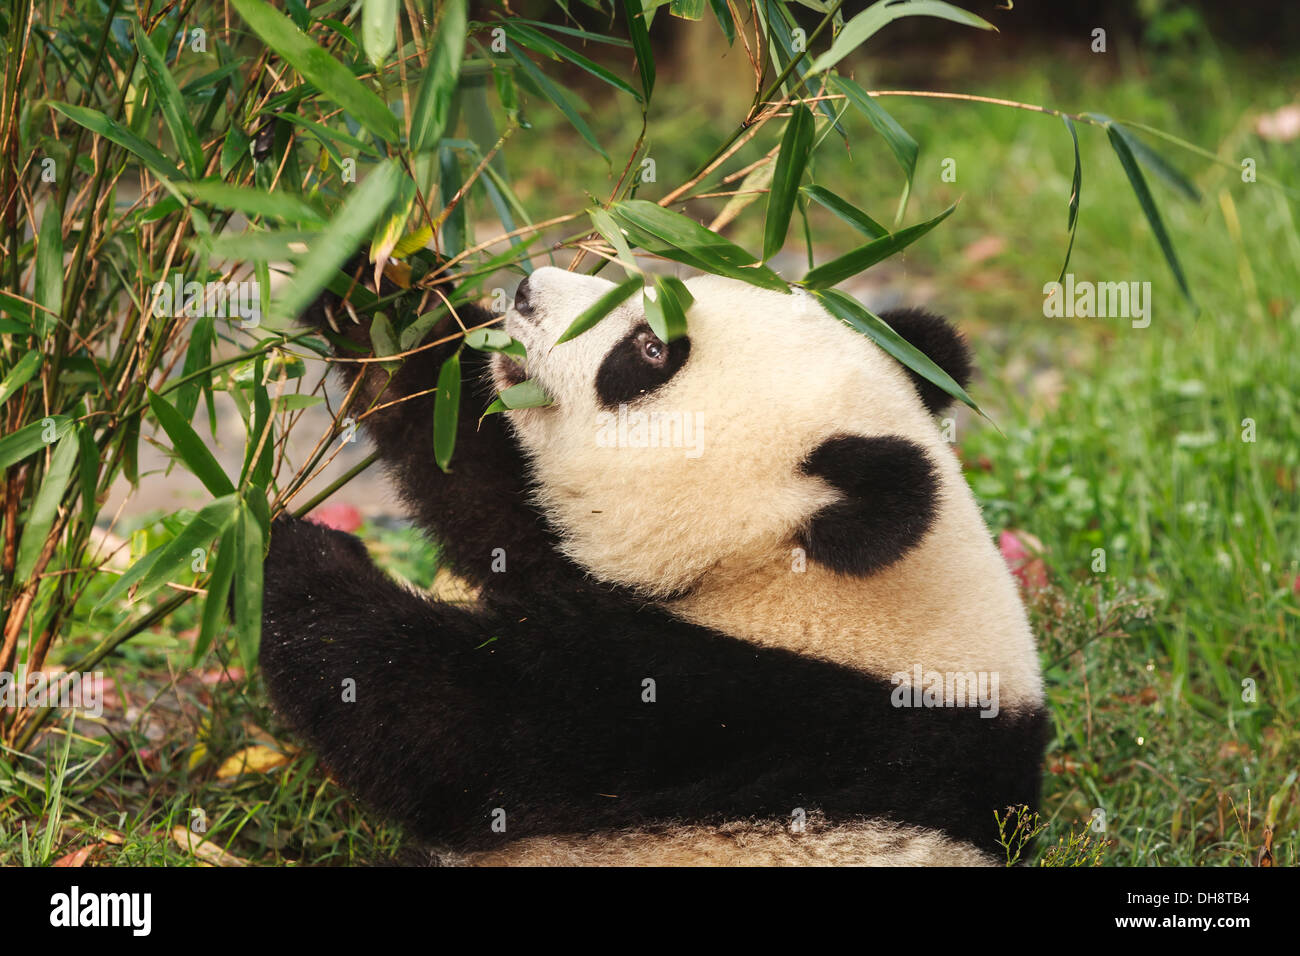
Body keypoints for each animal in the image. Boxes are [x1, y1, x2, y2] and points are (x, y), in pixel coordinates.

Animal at [260, 263, 1049, 866]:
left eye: (647, 352)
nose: (527, 290)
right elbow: (485, 477)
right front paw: (359, 267)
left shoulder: (745, 717)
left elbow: (452, 731)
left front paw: (286, 553)